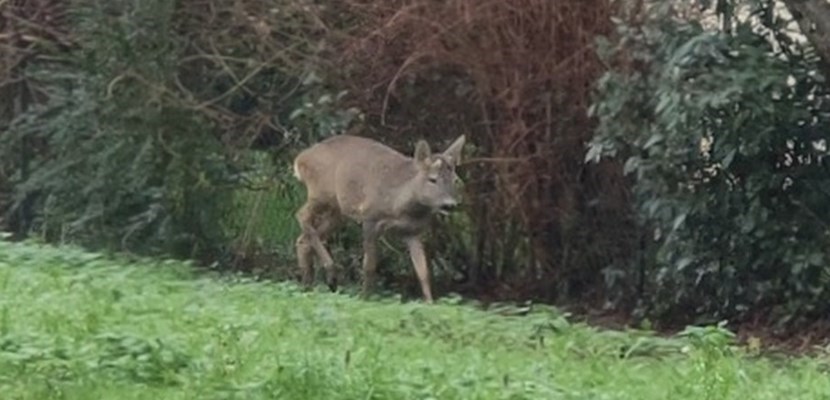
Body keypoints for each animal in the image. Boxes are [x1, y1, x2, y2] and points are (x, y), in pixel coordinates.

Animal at [290, 133, 468, 302]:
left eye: (456, 180)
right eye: (432, 179)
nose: (450, 205)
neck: (401, 204)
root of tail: (300, 159)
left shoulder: (413, 231)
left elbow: (422, 271)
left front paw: (430, 303)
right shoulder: (370, 218)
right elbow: (369, 265)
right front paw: (364, 298)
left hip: (338, 211)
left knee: (303, 238)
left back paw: (308, 285)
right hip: (321, 193)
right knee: (301, 215)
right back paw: (330, 272)